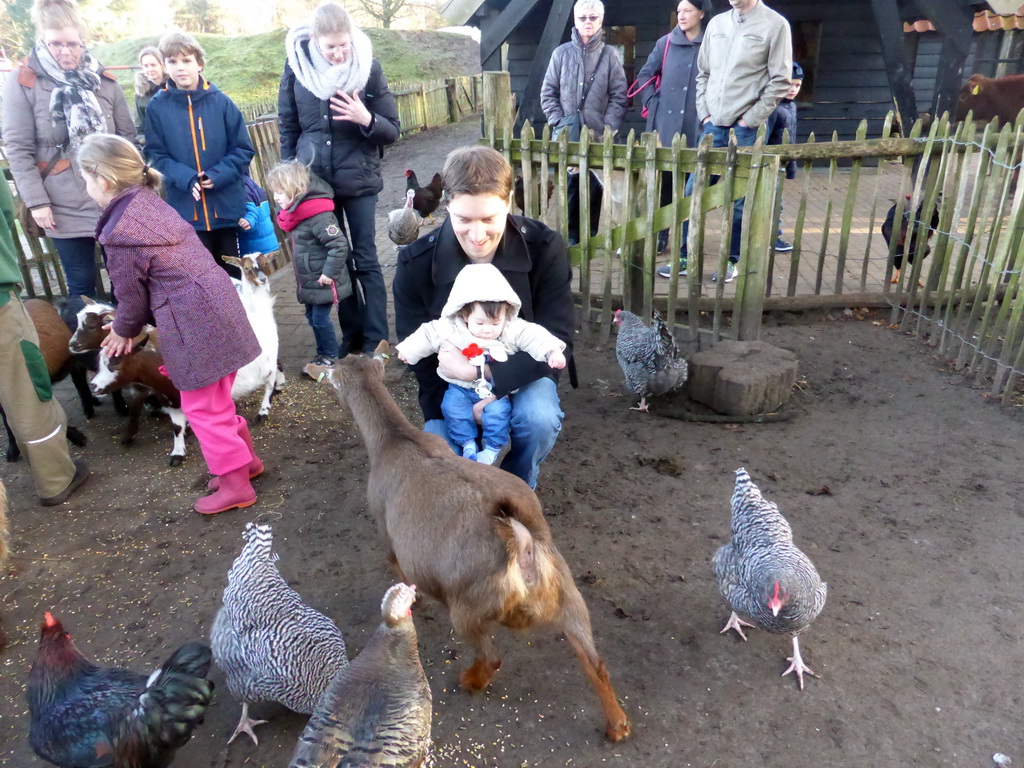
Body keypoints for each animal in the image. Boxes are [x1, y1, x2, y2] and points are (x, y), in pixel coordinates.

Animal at [307, 346, 630, 741]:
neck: (395, 440)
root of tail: (522, 544)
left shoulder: (386, 530)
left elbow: (397, 566)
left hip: (469, 606)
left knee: (491, 657)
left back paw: (468, 680)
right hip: (568, 592)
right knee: (594, 662)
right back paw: (617, 725)